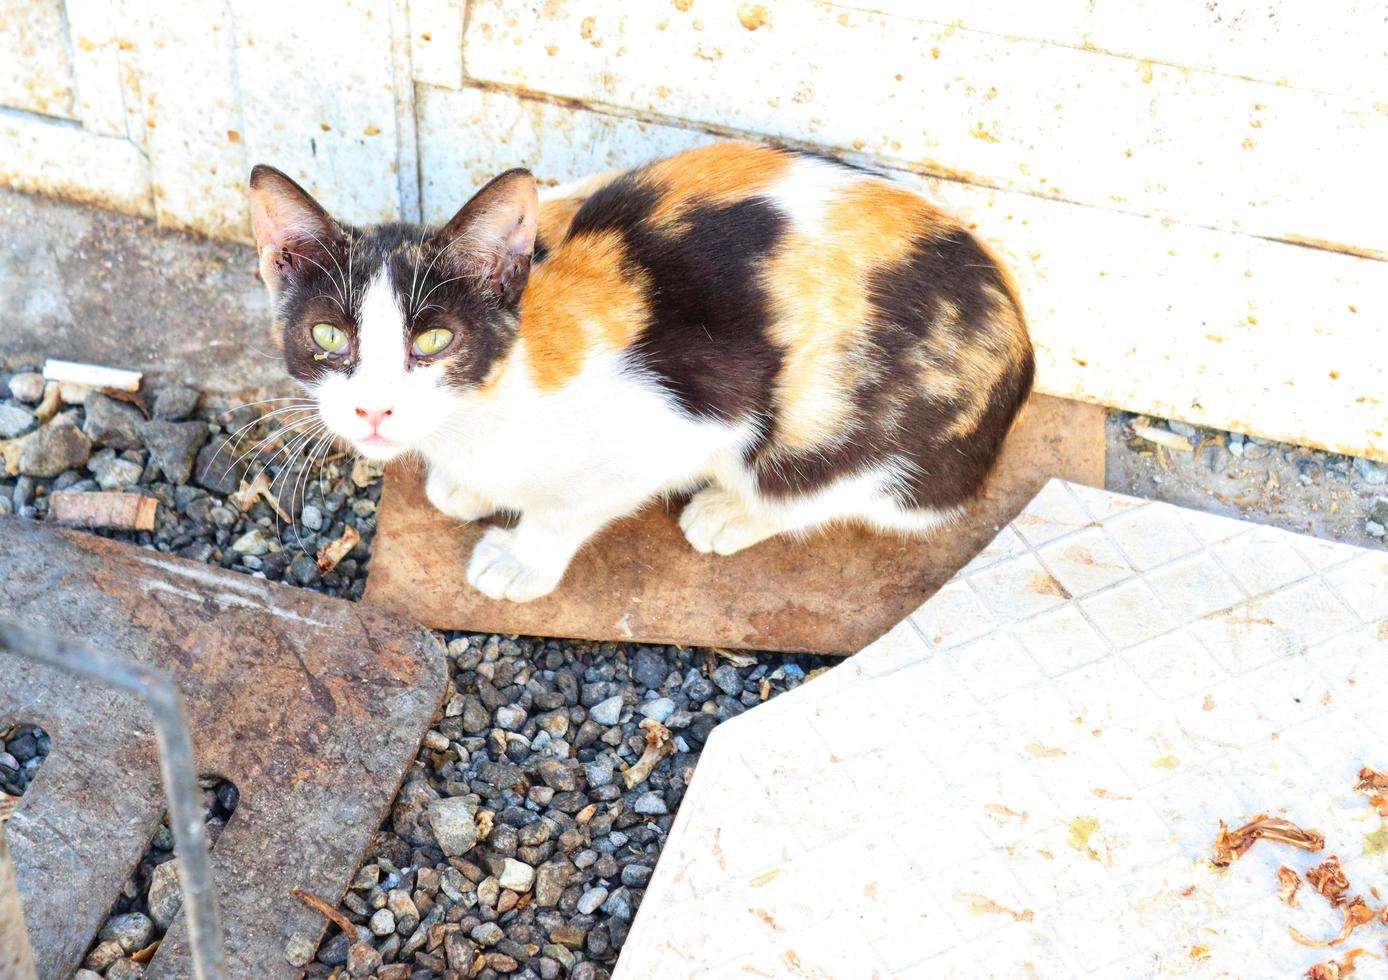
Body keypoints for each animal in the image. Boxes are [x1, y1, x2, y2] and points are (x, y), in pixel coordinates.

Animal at [247, 141, 1032, 599]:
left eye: (436, 339)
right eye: (327, 335)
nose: (373, 410)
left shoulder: (689, 414)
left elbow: (572, 507)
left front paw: (521, 560)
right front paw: (464, 489)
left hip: (835, 434)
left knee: (827, 489)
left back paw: (730, 513)